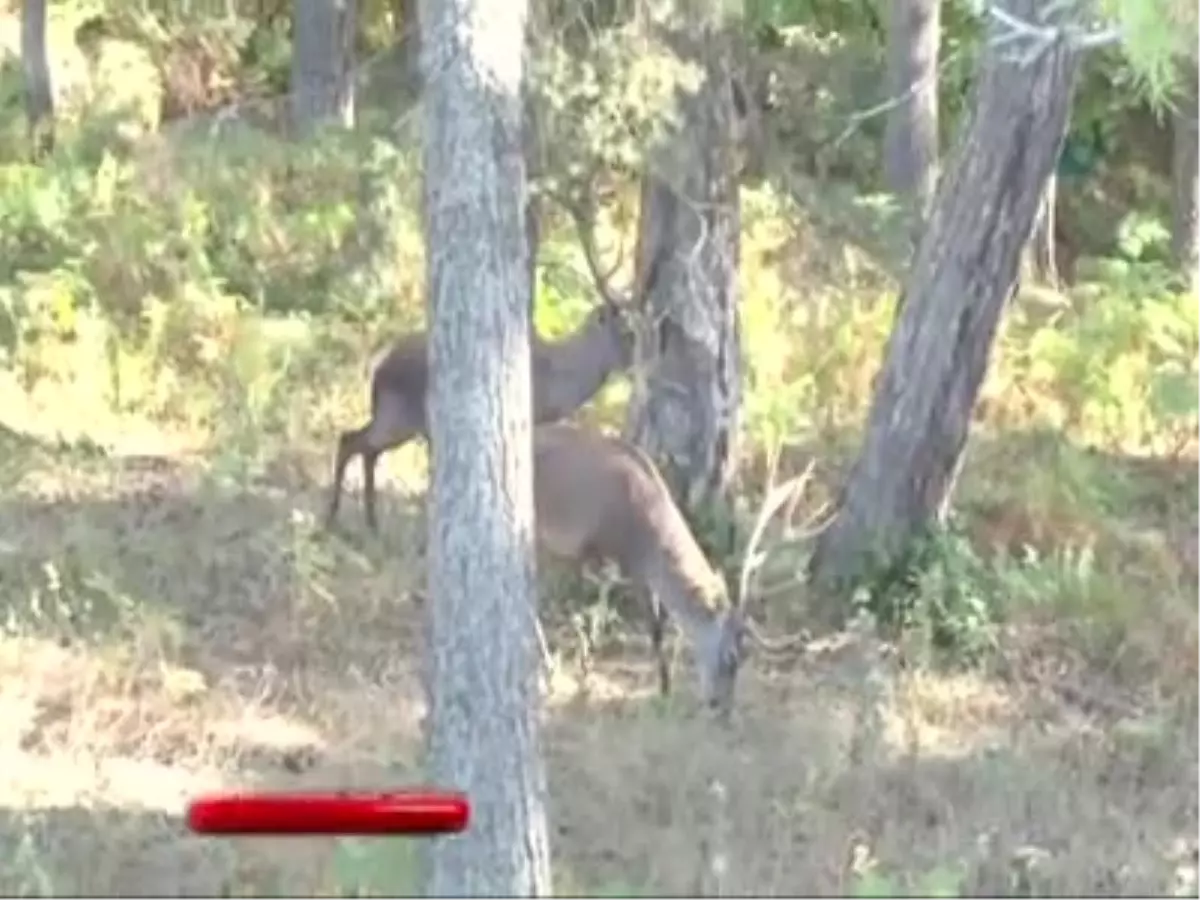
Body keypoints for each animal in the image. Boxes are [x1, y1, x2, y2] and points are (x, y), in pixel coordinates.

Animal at [324, 186, 657, 532]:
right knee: (351, 440)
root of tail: (378, 370)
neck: (558, 381)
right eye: (627, 333)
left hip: (396, 418)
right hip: (398, 414)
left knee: (364, 447)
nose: (643, 365)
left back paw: (370, 521)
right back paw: (335, 516)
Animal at [535, 422, 825, 720]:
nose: (722, 708)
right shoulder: (608, 554)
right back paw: (547, 669)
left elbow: (656, 627)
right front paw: (585, 676)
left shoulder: (639, 571)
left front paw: (665, 688)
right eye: (731, 657)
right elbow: (599, 614)